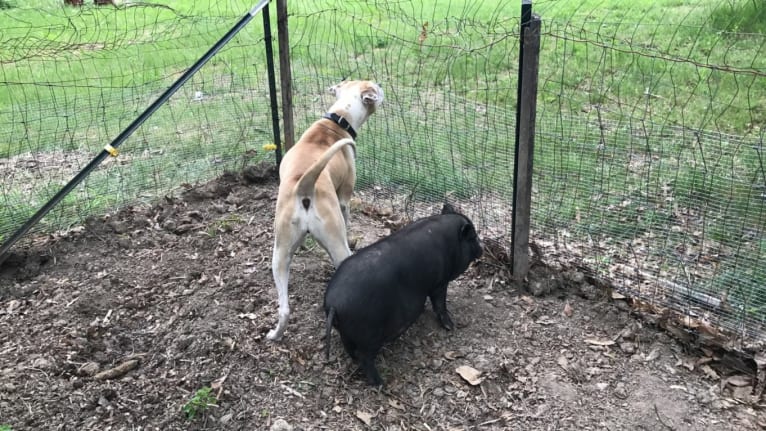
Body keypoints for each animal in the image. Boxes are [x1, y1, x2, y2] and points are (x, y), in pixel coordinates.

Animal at [268, 80, 384, 340]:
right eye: (374, 87)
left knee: (284, 308)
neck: (337, 119)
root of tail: (304, 184)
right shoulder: (344, 198)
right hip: (336, 243)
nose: (381, 84)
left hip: (279, 254)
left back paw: (275, 334)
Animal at [322, 204, 480, 386]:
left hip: (345, 332)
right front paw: (451, 326)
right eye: (473, 237)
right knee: (365, 358)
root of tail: (334, 304)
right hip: (369, 335)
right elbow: (440, 304)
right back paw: (381, 384)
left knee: (350, 349)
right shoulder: (439, 283)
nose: (482, 249)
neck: (451, 244)